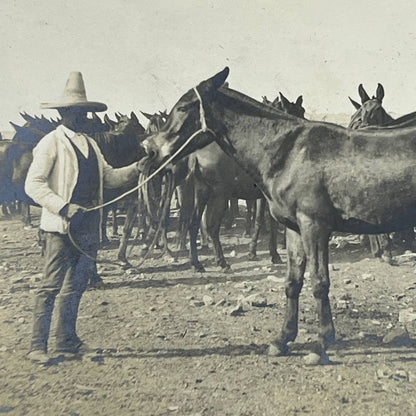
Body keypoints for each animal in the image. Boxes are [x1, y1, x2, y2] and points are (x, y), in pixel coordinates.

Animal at [143, 66, 416, 362]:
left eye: (183, 107)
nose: (150, 149)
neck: (288, 152)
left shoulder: (314, 225)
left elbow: (319, 282)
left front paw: (321, 344)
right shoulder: (295, 228)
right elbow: (293, 282)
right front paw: (283, 339)